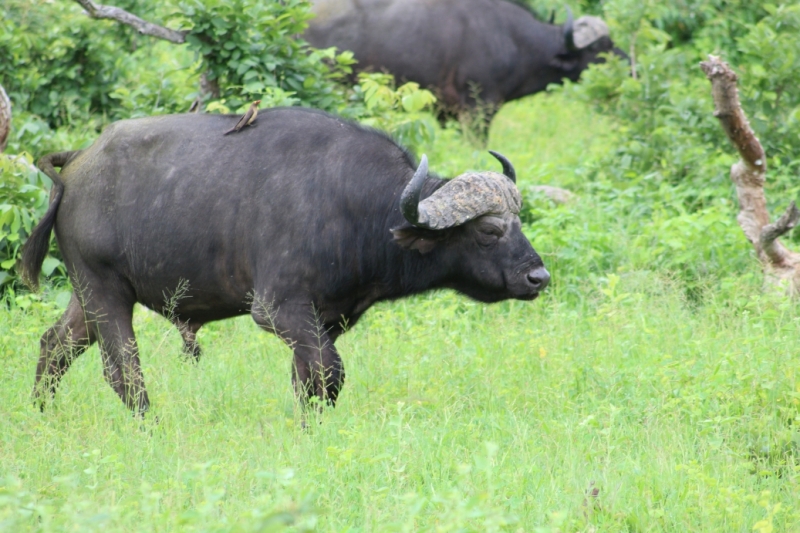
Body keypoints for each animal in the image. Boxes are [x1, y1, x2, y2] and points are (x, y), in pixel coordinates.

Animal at [23, 108, 552, 414]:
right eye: (488, 231)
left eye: (519, 221)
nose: (538, 276)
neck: (351, 206)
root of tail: (78, 161)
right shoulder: (277, 309)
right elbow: (331, 373)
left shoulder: (323, 319)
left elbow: (310, 379)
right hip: (105, 290)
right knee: (123, 371)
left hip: (87, 296)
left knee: (53, 345)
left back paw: (41, 413)